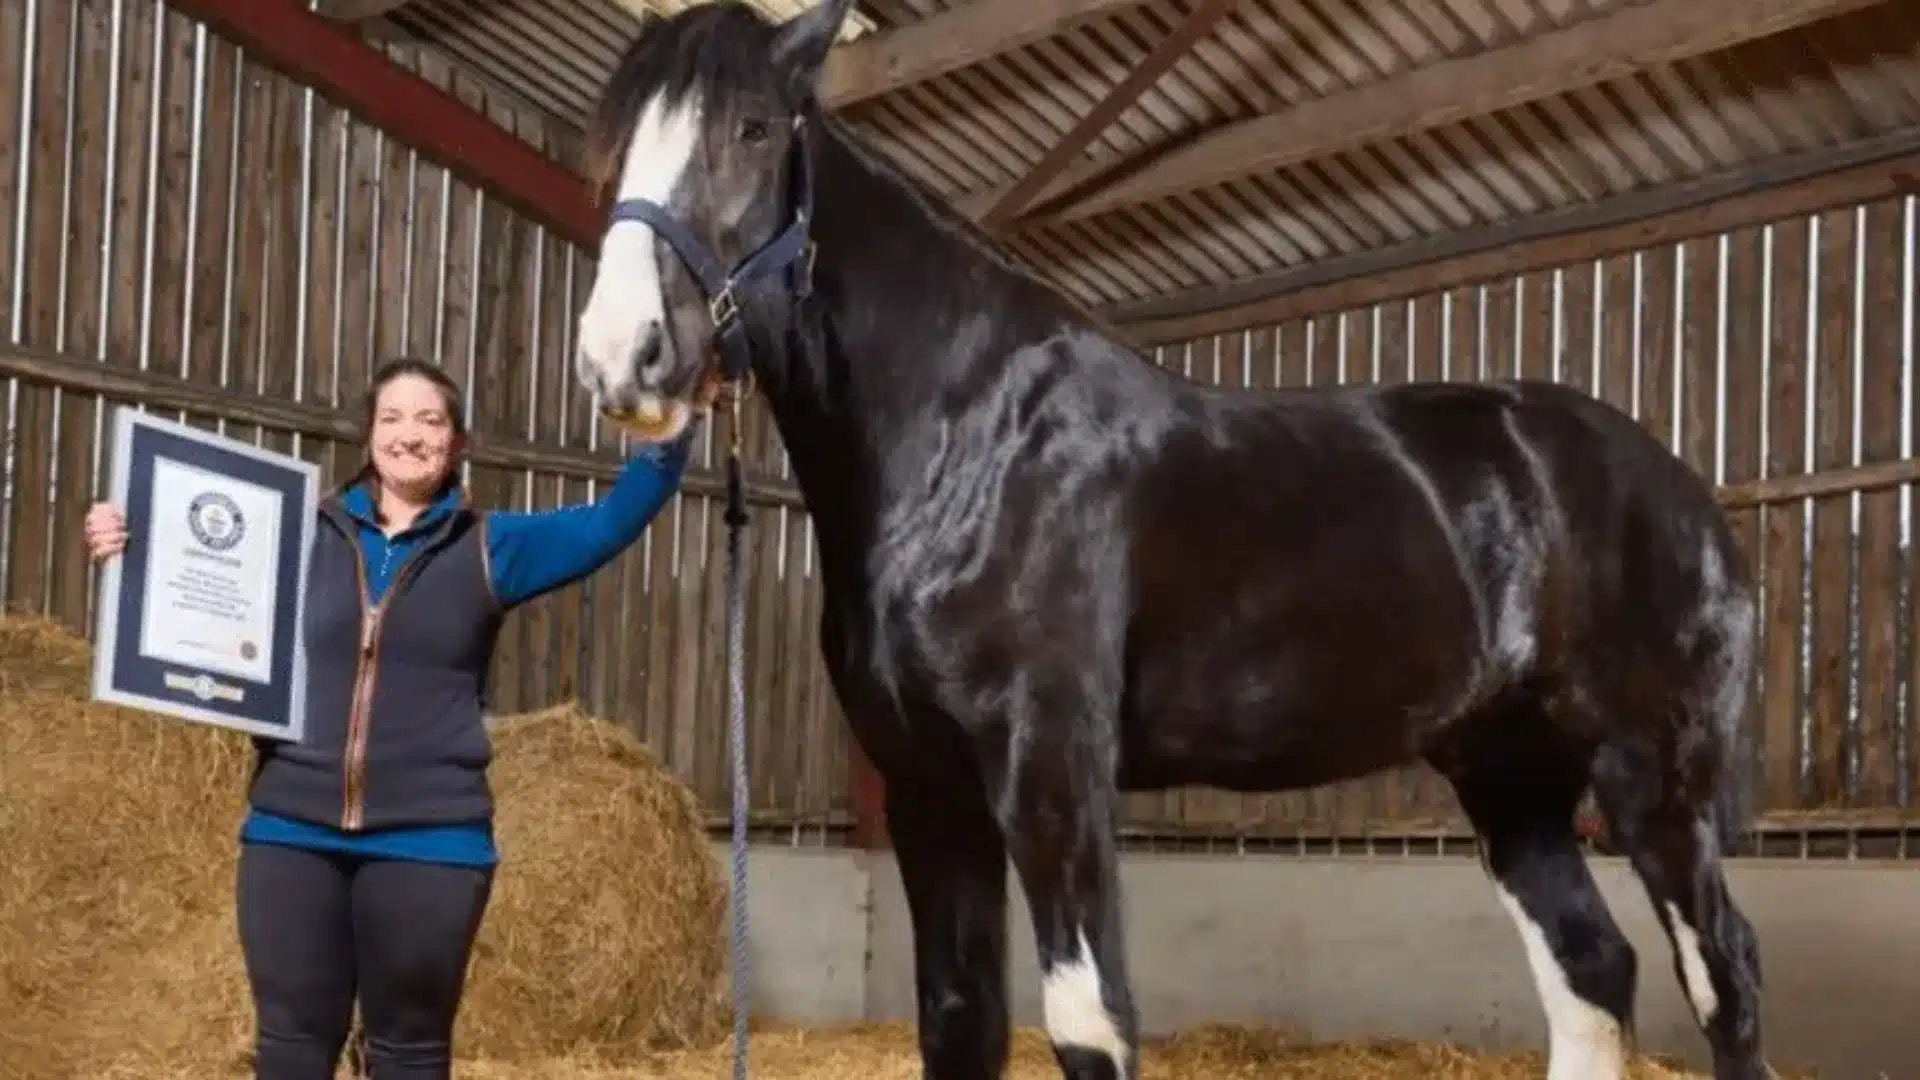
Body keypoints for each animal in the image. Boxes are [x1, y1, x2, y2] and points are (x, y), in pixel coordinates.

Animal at [566, 4, 1769, 1079]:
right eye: (617, 144)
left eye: (753, 130)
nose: (627, 357)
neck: (971, 436)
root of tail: (1680, 490)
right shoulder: (928, 791)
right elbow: (957, 1022)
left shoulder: (1052, 771)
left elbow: (1089, 1024)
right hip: (1510, 775)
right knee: (1592, 970)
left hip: (1655, 780)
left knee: (1724, 976)